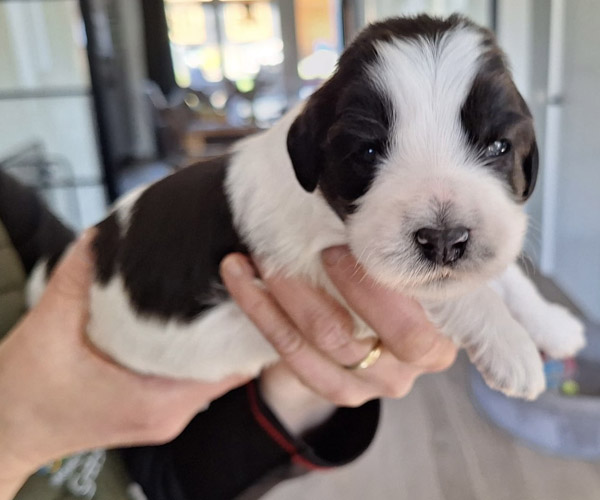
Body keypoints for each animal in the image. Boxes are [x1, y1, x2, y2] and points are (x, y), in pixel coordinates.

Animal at [29, 14, 585, 400]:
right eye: (368, 152)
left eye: (498, 147)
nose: (446, 241)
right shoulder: (326, 272)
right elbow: (464, 293)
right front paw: (512, 347)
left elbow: (502, 273)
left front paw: (551, 323)